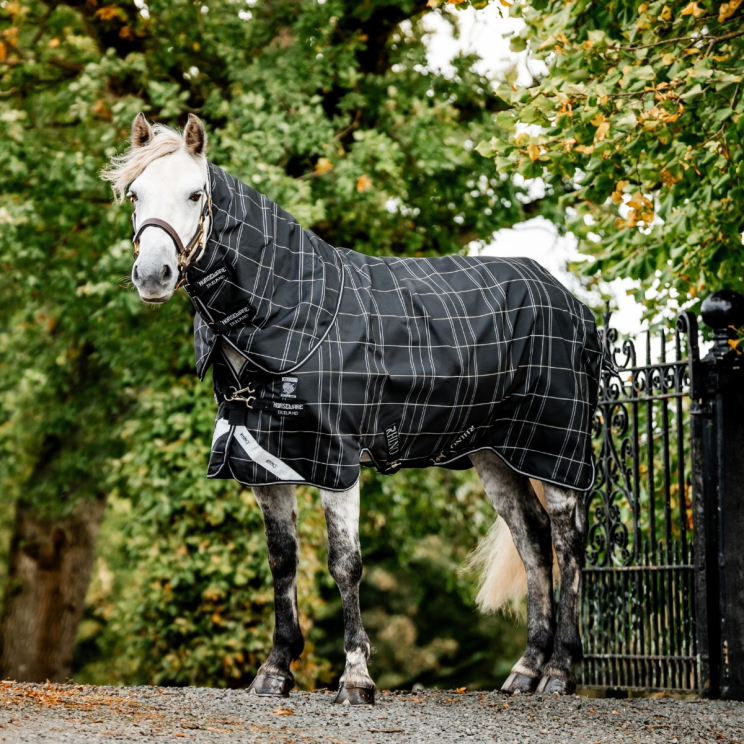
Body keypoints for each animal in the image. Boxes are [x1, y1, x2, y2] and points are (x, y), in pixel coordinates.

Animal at [102, 113, 603, 705]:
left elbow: (345, 564)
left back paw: (560, 671)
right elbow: (282, 562)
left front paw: (356, 678)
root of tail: (572, 304)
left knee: (569, 542)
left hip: (555, 448)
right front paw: (275, 670)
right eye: (135, 194)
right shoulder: (267, 464)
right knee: (533, 540)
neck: (292, 312)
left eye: (195, 193)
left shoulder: (336, 463)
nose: (152, 274)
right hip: (495, 455)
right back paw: (525, 670)